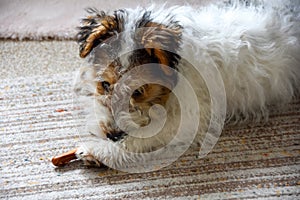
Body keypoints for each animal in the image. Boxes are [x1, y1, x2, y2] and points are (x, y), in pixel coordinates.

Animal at [51, 0, 300, 172]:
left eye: (139, 91)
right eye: (104, 84)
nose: (111, 134)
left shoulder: (186, 118)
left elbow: (142, 138)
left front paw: (97, 151)